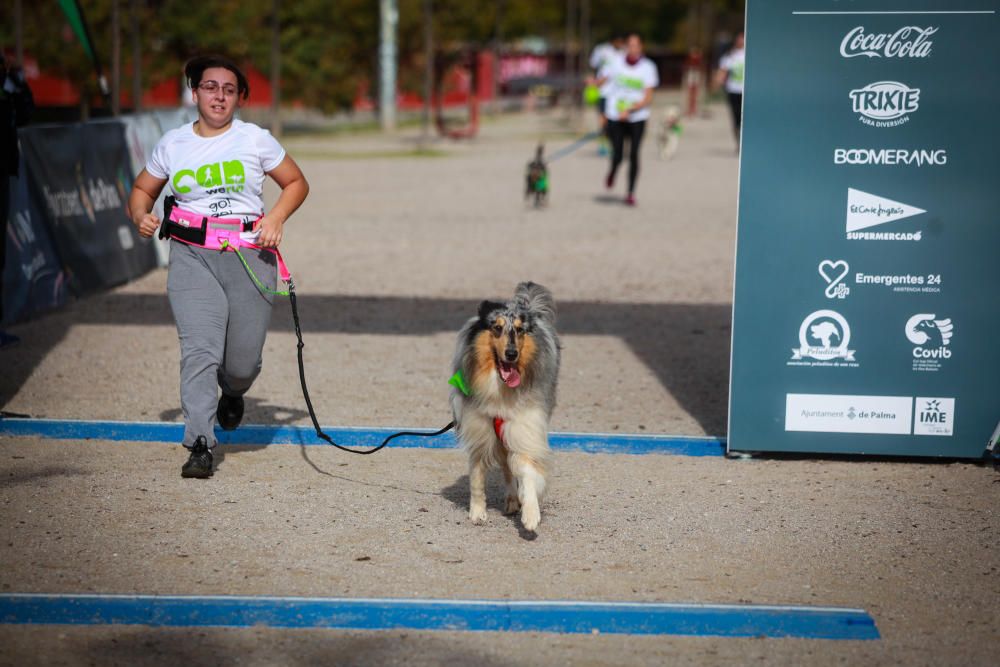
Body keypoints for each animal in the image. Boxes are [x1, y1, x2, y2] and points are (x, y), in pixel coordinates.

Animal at [450, 282, 560, 532]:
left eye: (519, 330)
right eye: (497, 328)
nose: (511, 354)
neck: (499, 388)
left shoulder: (523, 429)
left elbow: (527, 472)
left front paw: (530, 515)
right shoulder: (478, 431)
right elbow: (477, 478)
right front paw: (477, 513)